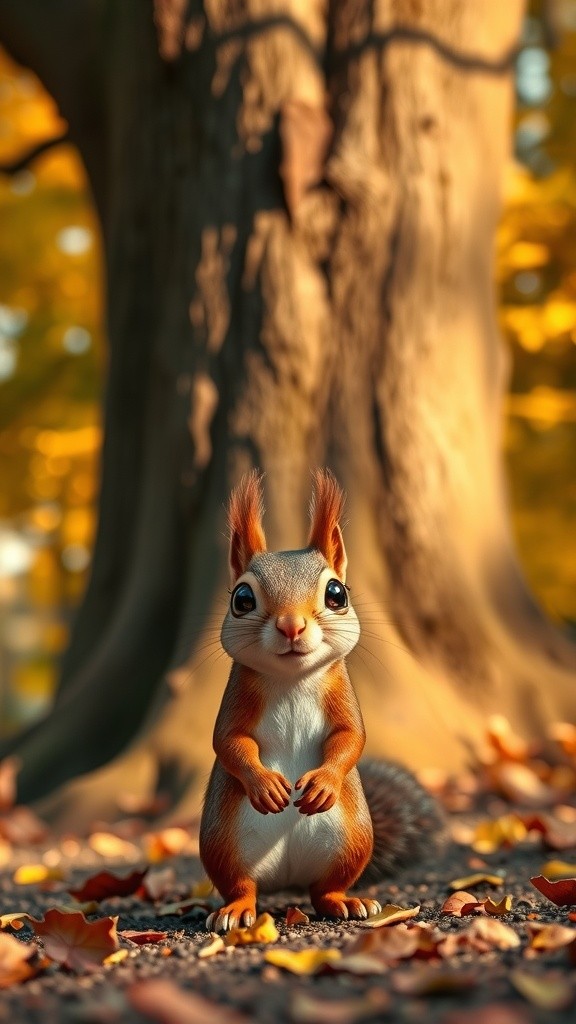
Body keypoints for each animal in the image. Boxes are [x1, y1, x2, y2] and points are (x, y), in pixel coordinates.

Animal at [199, 469, 444, 932]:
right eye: (242, 599)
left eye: (336, 594)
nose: (291, 625)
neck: (292, 679)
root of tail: (286, 879)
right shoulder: (236, 694)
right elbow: (228, 741)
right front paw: (266, 785)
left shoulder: (340, 693)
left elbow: (352, 737)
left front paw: (323, 782)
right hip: (222, 843)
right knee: (241, 885)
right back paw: (236, 911)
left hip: (351, 841)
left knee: (325, 888)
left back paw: (346, 903)